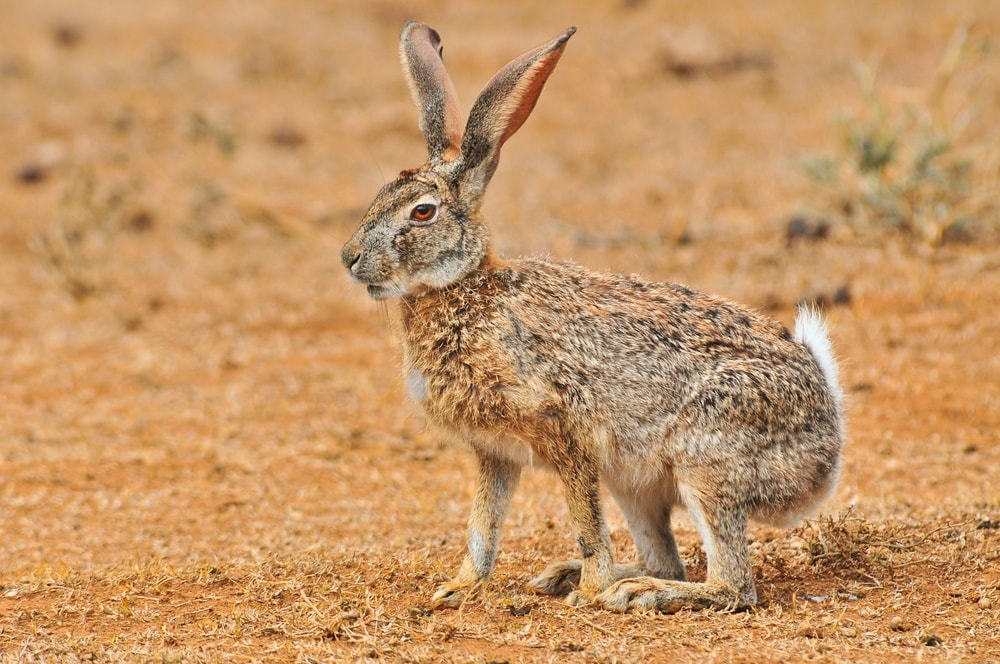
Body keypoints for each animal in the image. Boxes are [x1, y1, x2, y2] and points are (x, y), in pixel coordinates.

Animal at [340, 21, 845, 613]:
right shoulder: (495, 453)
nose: (349, 258)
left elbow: (584, 521)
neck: (465, 288)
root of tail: (827, 435)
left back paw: (633, 592)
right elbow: (482, 524)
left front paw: (588, 590)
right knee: (667, 557)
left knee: (733, 585)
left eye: (422, 212)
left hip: (706, 458)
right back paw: (582, 579)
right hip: (637, 484)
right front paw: (458, 588)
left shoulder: (565, 430)